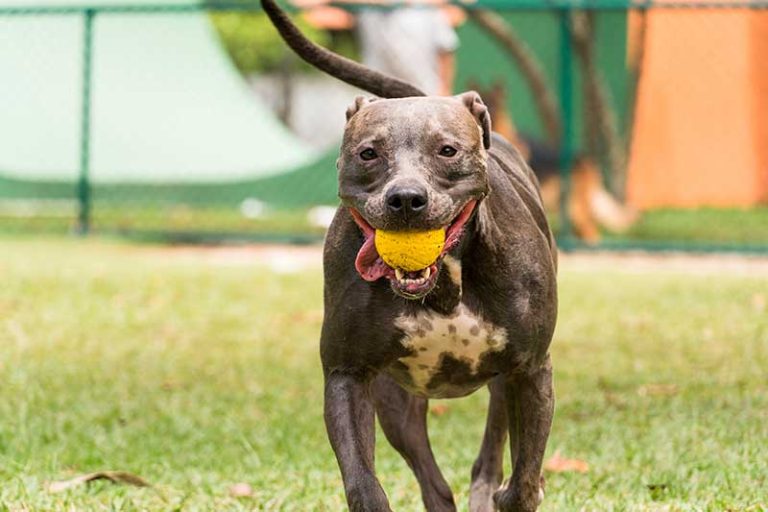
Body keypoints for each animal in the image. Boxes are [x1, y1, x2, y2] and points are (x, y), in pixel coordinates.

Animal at [264, 2, 560, 510]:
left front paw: (519, 490)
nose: (405, 198)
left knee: (492, 451)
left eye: (447, 150)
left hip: (502, 385)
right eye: (368, 153)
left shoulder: (531, 371)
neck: (443, 285)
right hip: (396, 403)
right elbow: (363, 483)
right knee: (432, 481)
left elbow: (525, 477)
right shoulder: (347, 375)